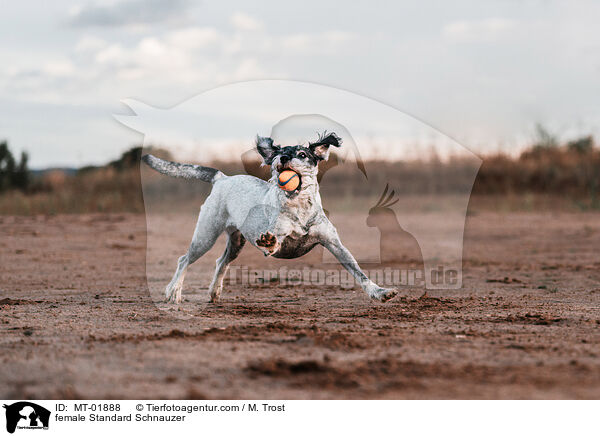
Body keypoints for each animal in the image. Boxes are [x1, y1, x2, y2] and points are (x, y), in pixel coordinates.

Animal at [142, 131, 398, 304]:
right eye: (279, 153)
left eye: (302, 154)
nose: (283, 159)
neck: (299, 209)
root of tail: (222, 178)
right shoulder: (278, 237)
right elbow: (273, 242)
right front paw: (269, 241)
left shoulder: (335, 244)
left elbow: (359, 273)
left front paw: (380, 292)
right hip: (205, 235)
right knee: (183, 260)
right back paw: (173, 292)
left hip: (236, 242)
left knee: (221, 262)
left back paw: (214, 293)